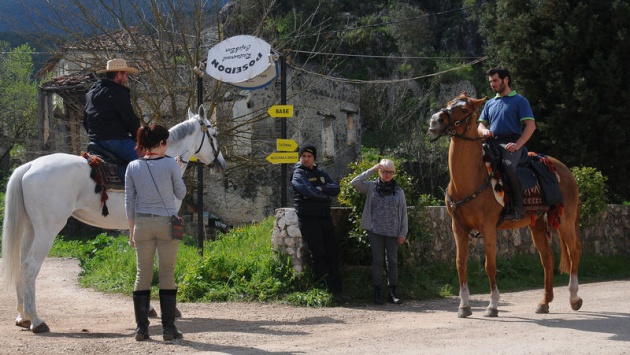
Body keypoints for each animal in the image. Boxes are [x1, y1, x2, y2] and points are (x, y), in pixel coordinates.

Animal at [0, 105, 227, 334]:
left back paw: (23, 317)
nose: (221, 163)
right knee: (30, 266)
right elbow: (154, 261)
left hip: (30, 229)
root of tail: (29, 166)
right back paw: (37, 320)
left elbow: (141, 262)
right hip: (47, 230)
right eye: (215, 134)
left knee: (21, 264)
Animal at [428, 91, 584, 318]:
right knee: (547, 259)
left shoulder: (488, 227)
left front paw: (492, 305)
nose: (436, 120)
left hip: (565, 220)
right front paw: (464, 306)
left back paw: (574, 298)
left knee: (574, 252)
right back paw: (544, 302)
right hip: (537, 224)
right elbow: (460, 264)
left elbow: (489, 265)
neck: (471, 179)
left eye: (464, 109)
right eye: (449, 103)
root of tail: (564, 170)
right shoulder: (458, 227)